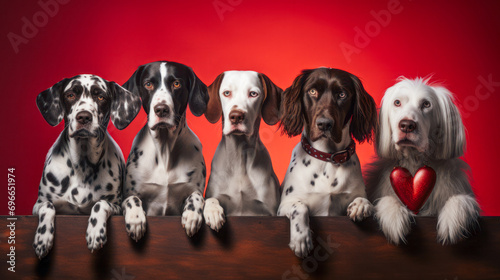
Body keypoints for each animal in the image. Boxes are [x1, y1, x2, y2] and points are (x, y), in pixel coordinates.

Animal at [33, 74, 142, 258]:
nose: (84, 117)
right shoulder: (38, 205)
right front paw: (43, 236)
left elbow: (100, 204)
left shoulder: (116, 205)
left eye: (101, 97)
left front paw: (95, 230)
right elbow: (48, 206)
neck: (82, 164)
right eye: (71, 95)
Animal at [121, 60, 209, 238]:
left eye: (176, 84)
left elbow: (197, 197)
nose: (161, 109)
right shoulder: (131, 193)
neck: (165, 151)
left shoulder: (194, 189)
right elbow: (131, 200)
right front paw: (135, 218)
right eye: (148, 84)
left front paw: (192, 214)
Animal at [202, 70, 282, 232]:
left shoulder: (270, 212)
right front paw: (213, 212)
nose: (236, 116)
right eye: (226, 93)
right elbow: (211, 199)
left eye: (253, 94)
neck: (239, 158)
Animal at [278, 68, 378, 258]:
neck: (328, 158)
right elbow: (299, 206)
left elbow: (365, 200)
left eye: (342, 94)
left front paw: (360, 206)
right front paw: (301, 237)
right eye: (312, 91)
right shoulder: (284, 206)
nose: (324, 124)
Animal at [368, 77, 480, 245]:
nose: (407, 125)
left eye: (426, 104)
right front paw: (394, 216)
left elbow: (460, 199)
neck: (414, 162)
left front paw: (452, 219)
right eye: (397, 102)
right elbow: (388, 199)